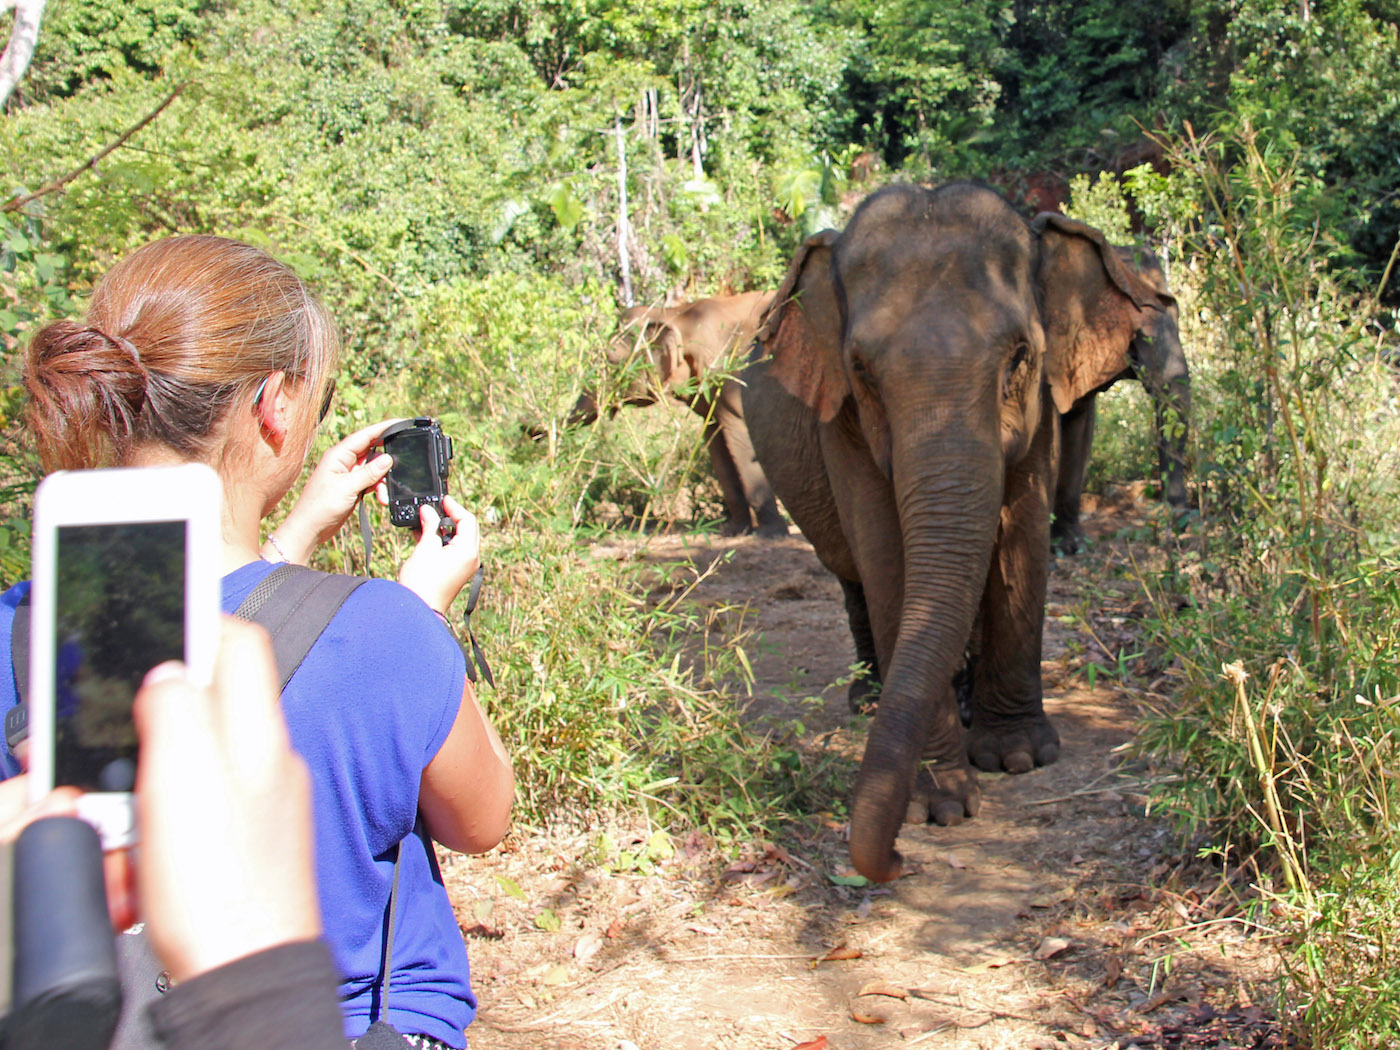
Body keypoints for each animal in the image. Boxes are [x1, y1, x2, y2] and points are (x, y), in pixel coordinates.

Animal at [565, 292, 789, 537]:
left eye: (611, 360)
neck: (675, 314)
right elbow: (716, 444)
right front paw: (732, 531)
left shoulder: (731, 375)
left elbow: (741, 440)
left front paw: (771, 534)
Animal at [739, 183, 1176, 890]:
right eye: (861, 370)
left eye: (1021, 355)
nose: (892, 859)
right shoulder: (843, 423)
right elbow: (888, 560)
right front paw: (938, 803)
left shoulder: (1041, 410)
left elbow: (1021, 540)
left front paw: (1018, 758)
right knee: (852, 579)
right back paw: (869, 701)